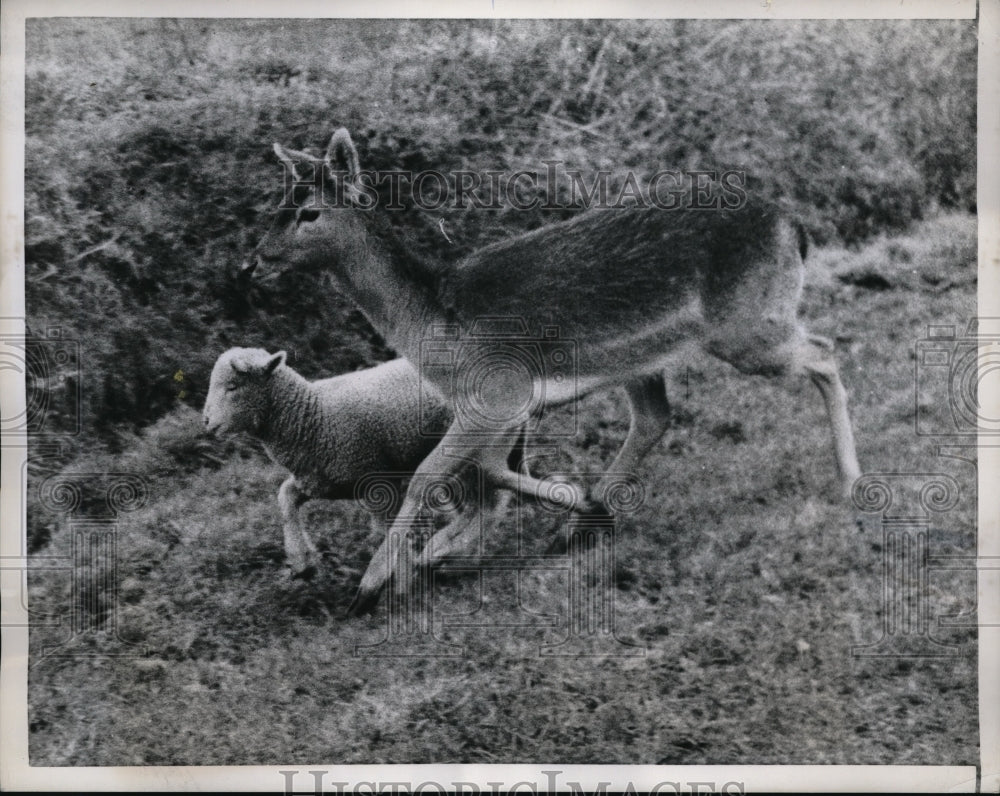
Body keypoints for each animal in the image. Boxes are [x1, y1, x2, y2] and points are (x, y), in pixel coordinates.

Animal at [200, 348, 520, 580]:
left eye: (233, 386)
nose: (206, 423)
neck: (310, 415)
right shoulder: (320, 480)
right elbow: (285, 497)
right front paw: (302, 561)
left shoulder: (376, 481)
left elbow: (385, 531)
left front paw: (395, 578)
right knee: (481, 504)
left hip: (472, 453)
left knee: (487, 506)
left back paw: (446, 554)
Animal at [244, 129, 860, 616]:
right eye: (276, 204)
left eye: (309, 211)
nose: (254, 262)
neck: (439, 327)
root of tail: (794, 226)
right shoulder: (504, 406)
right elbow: (491, 473)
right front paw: (431, 554)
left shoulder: (495, 393)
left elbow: (427, 474)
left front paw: (371, 585)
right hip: (646, 358)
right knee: (655, 417)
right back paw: (582, 523)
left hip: (749, 325)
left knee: (825, 350)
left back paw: (851, 480)